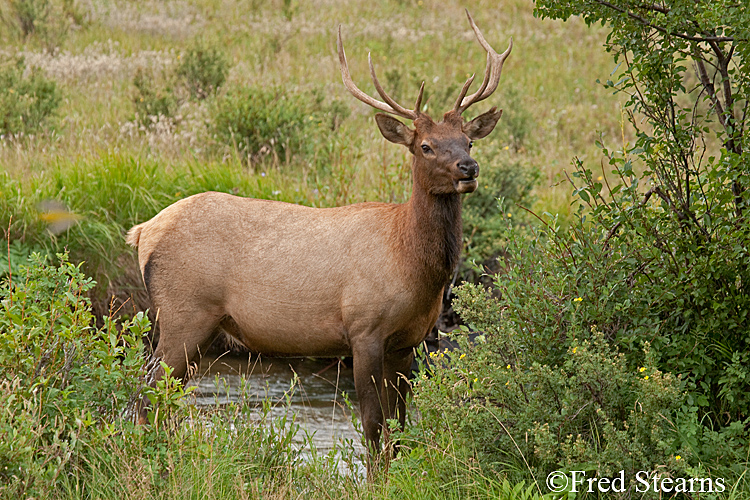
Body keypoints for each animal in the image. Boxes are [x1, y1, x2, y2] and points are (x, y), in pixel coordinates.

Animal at [128, 8, 512, 468]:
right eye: (425, 146)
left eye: (468, 140)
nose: (468, 168)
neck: (413, 267)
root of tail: (142, 232)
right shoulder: (364, 329)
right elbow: (372, 426)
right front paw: (376, 478)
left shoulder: (409, 341)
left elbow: (400, 427)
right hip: (183, 313)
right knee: (146, 394)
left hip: (198, 325)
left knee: (162, 396)